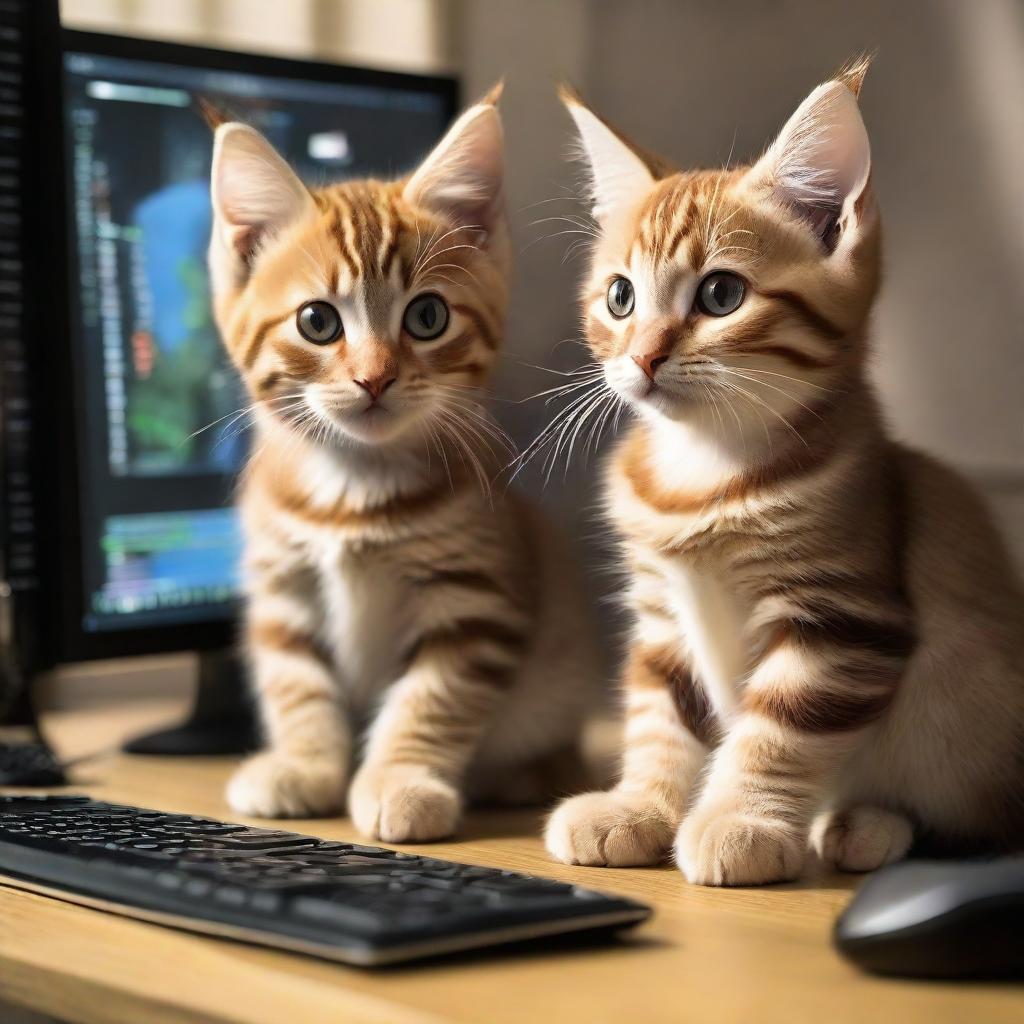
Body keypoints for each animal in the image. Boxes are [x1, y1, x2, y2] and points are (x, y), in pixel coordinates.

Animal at [205, 88, 598, 839]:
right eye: (318, 322)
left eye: (427, 317)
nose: (375, 378)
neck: (353, 484)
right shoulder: (283, 586)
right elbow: (296, 685)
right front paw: (304, 764)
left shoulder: (475, 598)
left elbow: (432, 699)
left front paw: (401, 779)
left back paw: (521, 775)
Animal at [544, 59, 1024, 884]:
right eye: (619, 296)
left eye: (720, 294)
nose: (642, 357)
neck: (701, 473)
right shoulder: (663, 617)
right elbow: (659, 718)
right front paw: (638, 807)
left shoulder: (843, 616)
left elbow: (779, 730)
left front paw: (740, 821)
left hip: (967, 701)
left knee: (978, 815)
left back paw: (869, 823)